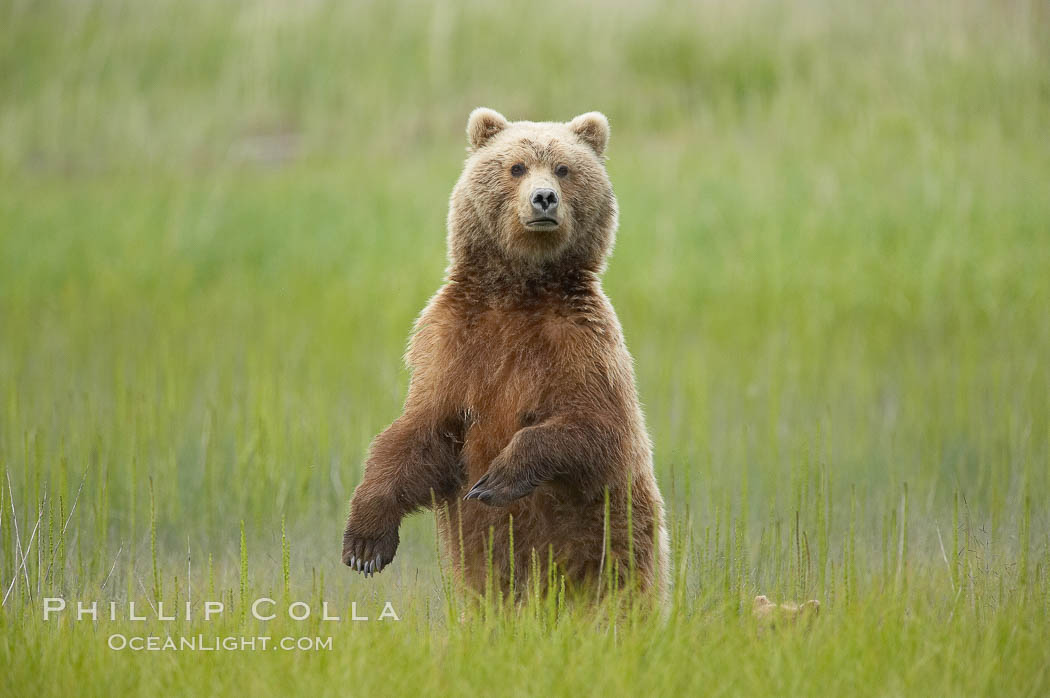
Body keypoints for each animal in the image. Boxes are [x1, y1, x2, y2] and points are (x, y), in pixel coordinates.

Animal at [344, 109, 672, 600]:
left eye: (563, 168)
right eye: (516, 166)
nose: (544, 198)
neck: (519, 292)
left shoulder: (582, 343)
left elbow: (600, 428)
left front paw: (495, 480)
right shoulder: (452, 343)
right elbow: (420, 431)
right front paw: (365, 545)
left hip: (615, 543)